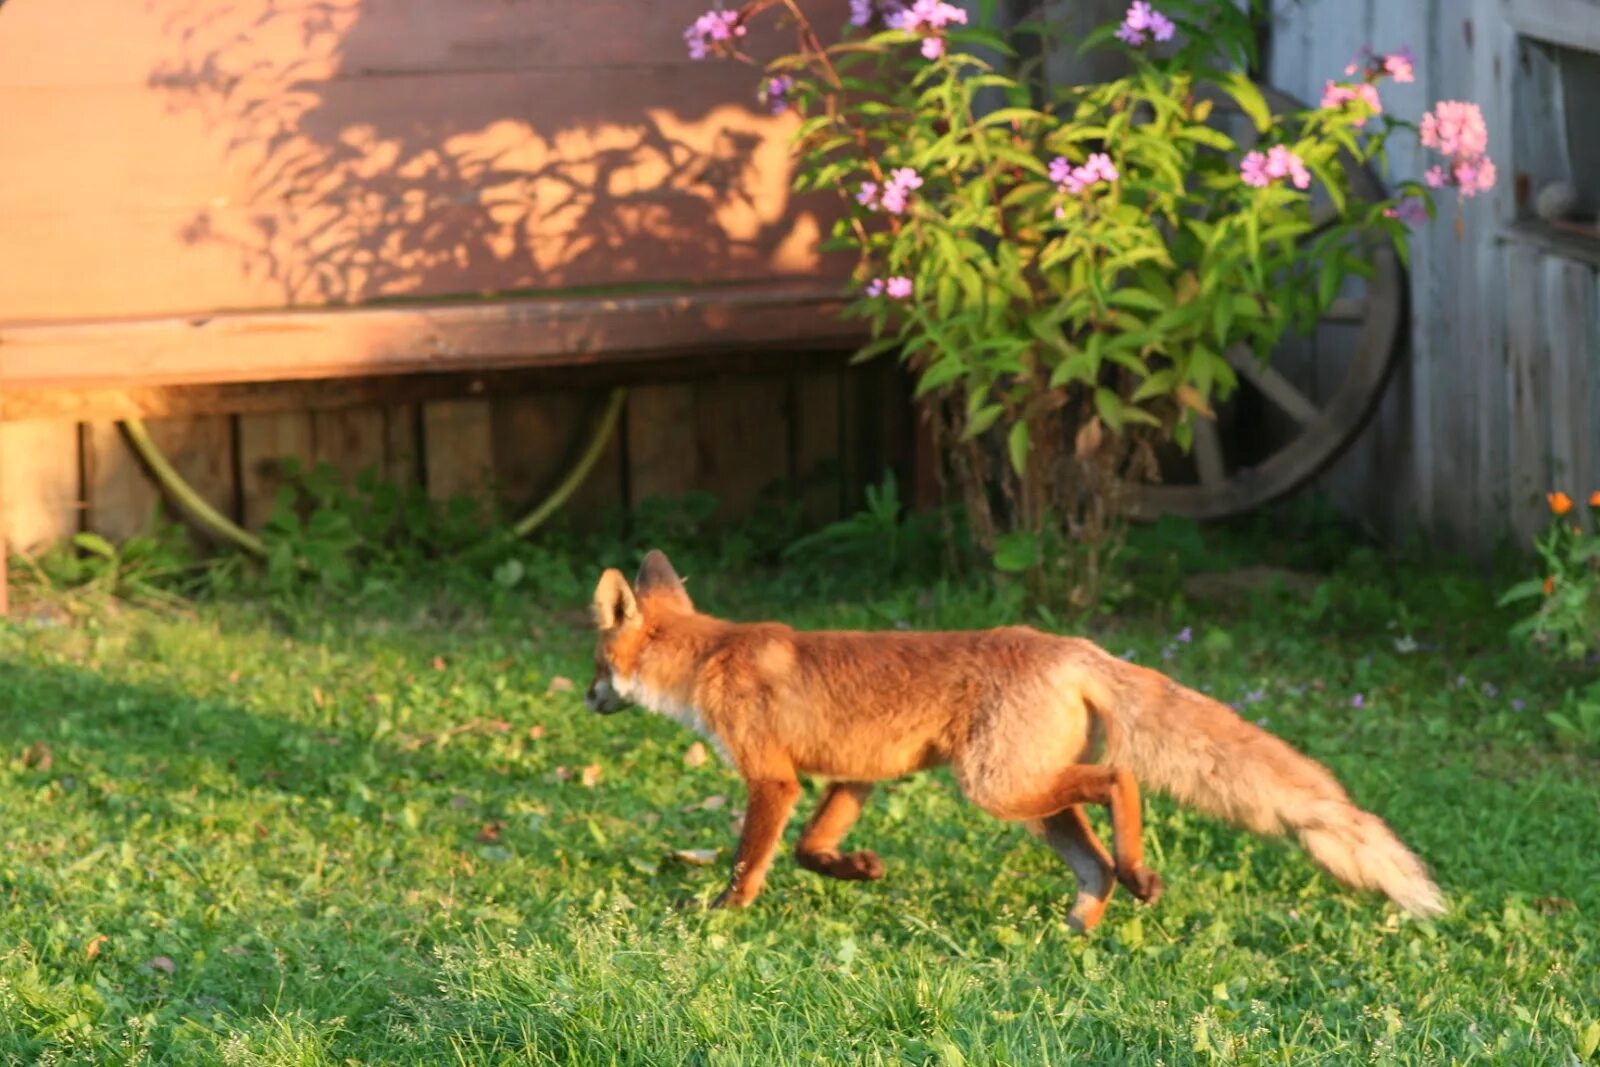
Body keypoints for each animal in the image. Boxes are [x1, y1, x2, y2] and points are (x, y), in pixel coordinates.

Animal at [588, 550, 1452, 927]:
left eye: (595, 662)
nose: (591, 696)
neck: (710, 656)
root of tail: (1070, 645)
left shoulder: (773, 778)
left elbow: (753, 857)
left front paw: (720, 912)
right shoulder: (856, 774)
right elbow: (809, 848)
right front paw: (855, 867)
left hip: (995, 786)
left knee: (1121, 783)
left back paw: (1138, 872)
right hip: (1030, 796)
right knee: (1093, 863)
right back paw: (1083, 931)